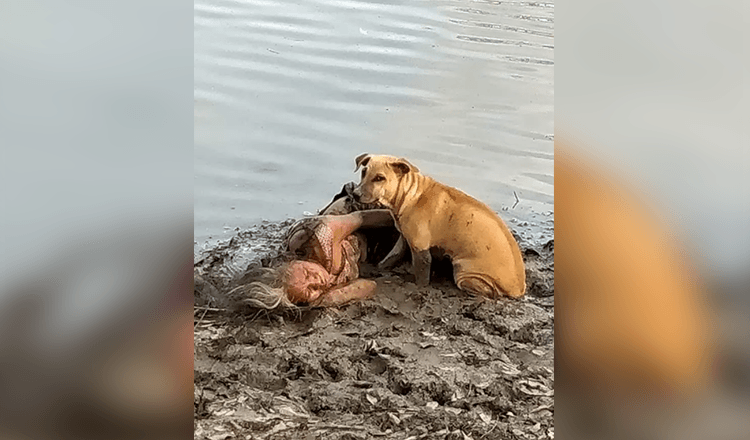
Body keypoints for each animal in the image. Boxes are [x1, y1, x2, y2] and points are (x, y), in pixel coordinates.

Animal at [354, 153, 524, 298]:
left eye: (379, 178)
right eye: (363, 172)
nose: (355, 194)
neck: (411, 195)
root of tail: (519, 289)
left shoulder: (421, 249)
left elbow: (421, 277)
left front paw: (418, 287)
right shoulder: (404, 238)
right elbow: (391, 257)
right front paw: (379, 268)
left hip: (465, 273)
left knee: (489, 292)